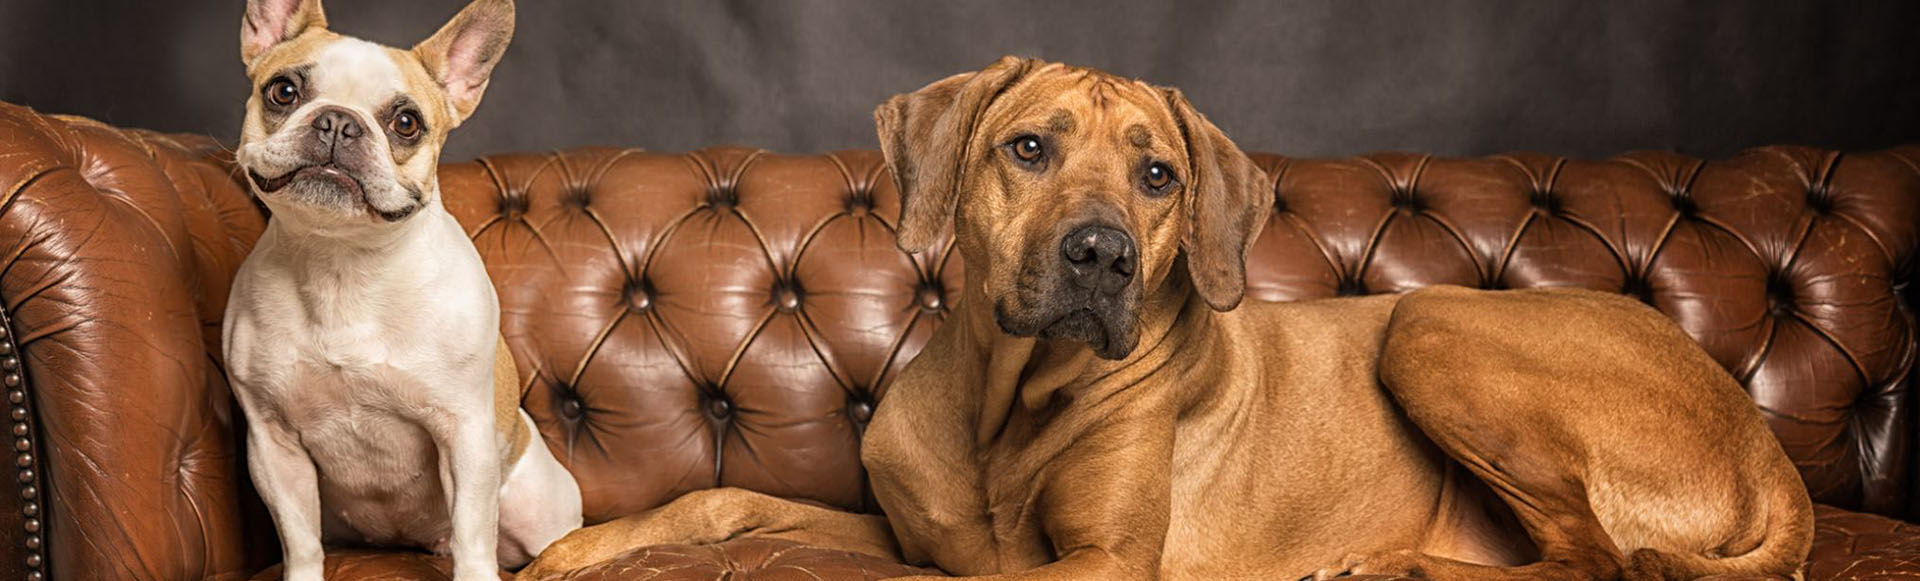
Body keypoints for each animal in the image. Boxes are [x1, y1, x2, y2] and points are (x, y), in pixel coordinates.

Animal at [222, 0, 580, 579]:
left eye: (406, 122)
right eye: (283, 91)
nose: (339, 121)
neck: (342, 263)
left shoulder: (464, 435)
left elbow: (472, 536)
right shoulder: (274, 444)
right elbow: (300, 540)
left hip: (534, 508)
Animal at [520, 57, 1811, 581]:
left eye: (1158, 176)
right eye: (1027, 148)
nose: (1102, 254)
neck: (1006, 402)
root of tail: (1763, 443)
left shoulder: (1101, 560)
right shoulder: (909, 531)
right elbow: (725, 497)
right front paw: (586, 546)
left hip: (1431, 323)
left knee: (1599, 553)